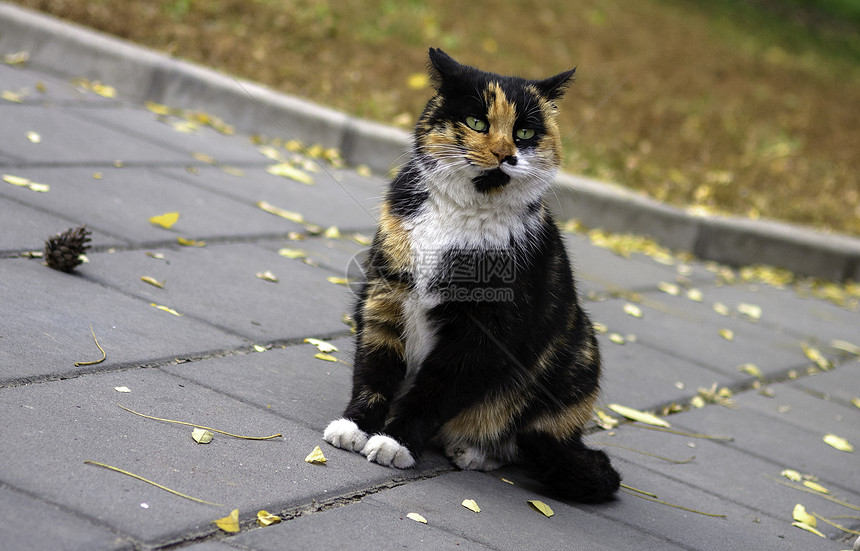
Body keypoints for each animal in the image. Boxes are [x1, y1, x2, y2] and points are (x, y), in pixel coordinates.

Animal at [322, 48, 620, 504]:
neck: (460, 215)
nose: (505, 154)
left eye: (525, 132)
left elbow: (437, 388)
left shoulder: (483, 332)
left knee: (522, 441)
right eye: (477, 122)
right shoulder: (384, 295)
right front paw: (356, 426)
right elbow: (374, 367)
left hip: (580, 348)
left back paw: (473, 451)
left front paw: (395, 442)